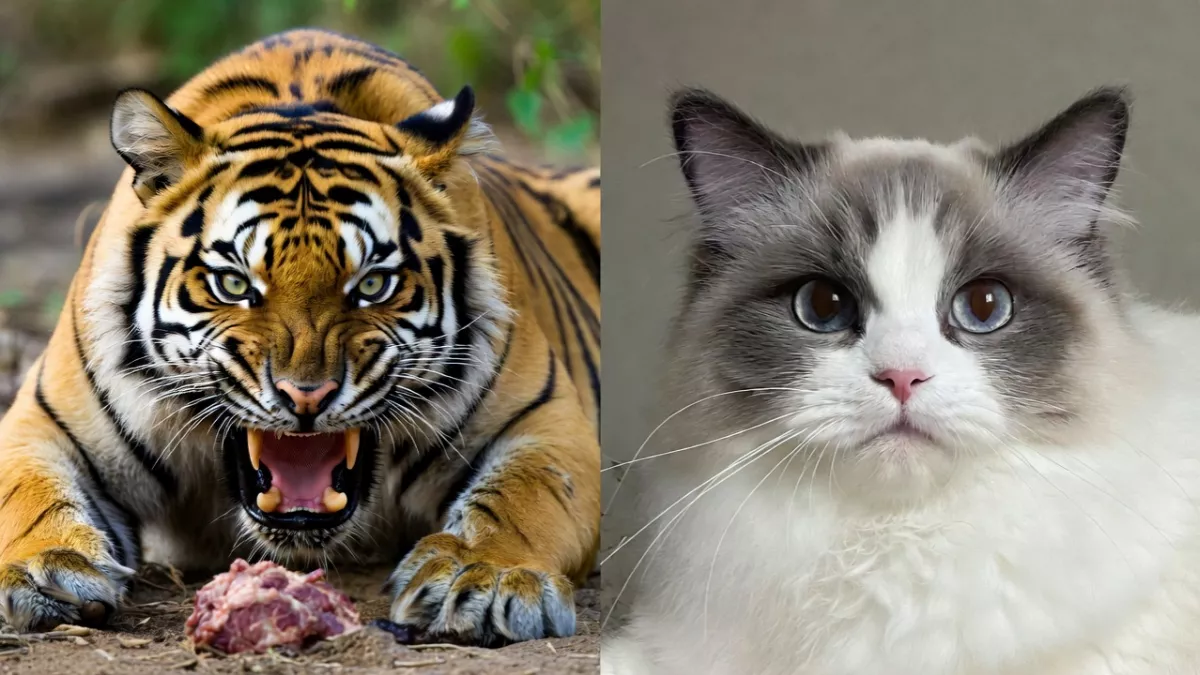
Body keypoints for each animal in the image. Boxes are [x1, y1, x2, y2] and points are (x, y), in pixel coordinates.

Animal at [0, 28, 599, 645]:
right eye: (234, 283)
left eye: (374, 284)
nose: (305, 396)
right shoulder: (43, 422)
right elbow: (27, 495)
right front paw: (46, 569)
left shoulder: (547, 420)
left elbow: (524, 498)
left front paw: (486, 576)